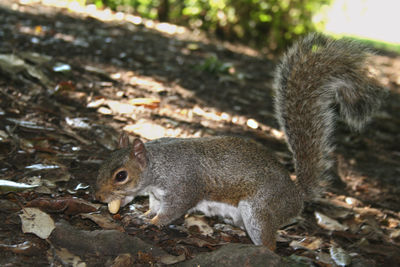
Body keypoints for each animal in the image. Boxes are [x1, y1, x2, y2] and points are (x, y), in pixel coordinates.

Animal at [94, 34, 384, 251]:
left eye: (121, 175)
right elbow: (154, 206)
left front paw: (153, 223)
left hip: (259, 210)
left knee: (269, 244)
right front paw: (144, 215)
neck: (158, 166)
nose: (97, 197)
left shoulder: (183, 186)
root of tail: (297, 196)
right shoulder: (156, 195)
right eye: (102, 165)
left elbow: (173, 210)